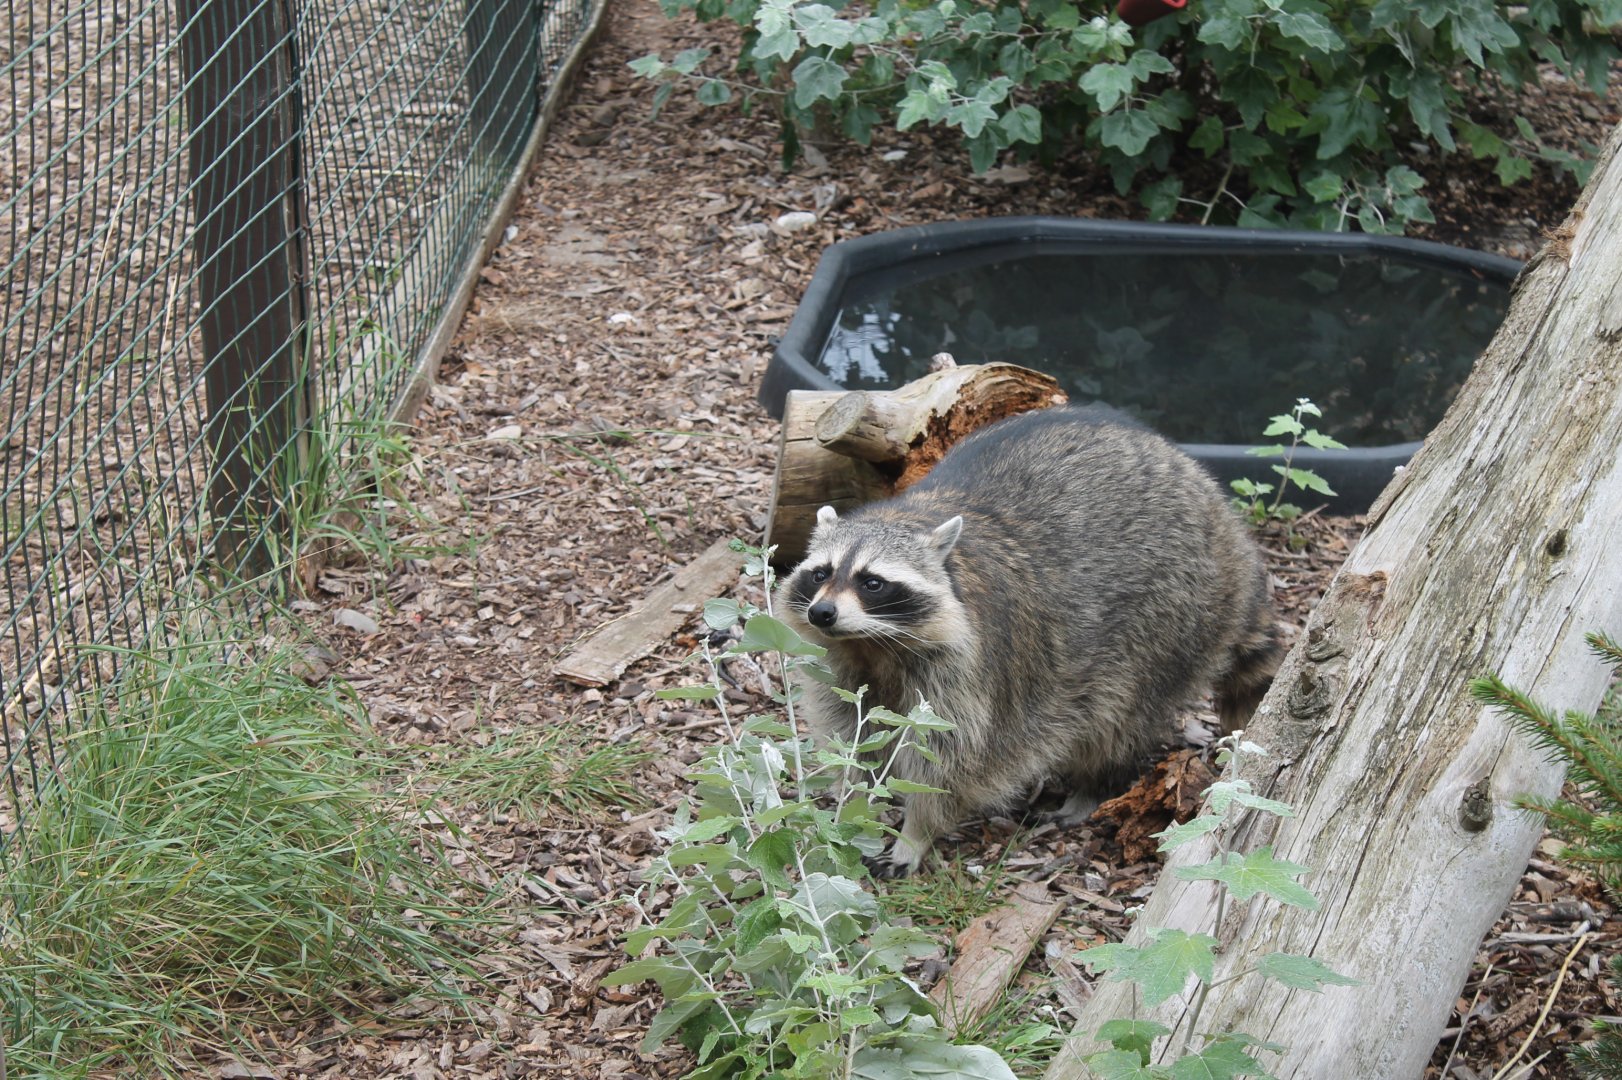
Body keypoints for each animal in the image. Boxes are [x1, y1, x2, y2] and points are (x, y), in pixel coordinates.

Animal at [775, 404, 1281, 875]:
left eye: (872, 582)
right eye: (821, 573)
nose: (822, 612)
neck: (873, 644)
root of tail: (1216, 509)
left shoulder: (970, 671)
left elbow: (947, 763)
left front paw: (914, 833)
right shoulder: (840, 664)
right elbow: (853, 736)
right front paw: (853, 808)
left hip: (1172, 610)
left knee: (1116, 718)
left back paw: (1093, 786)